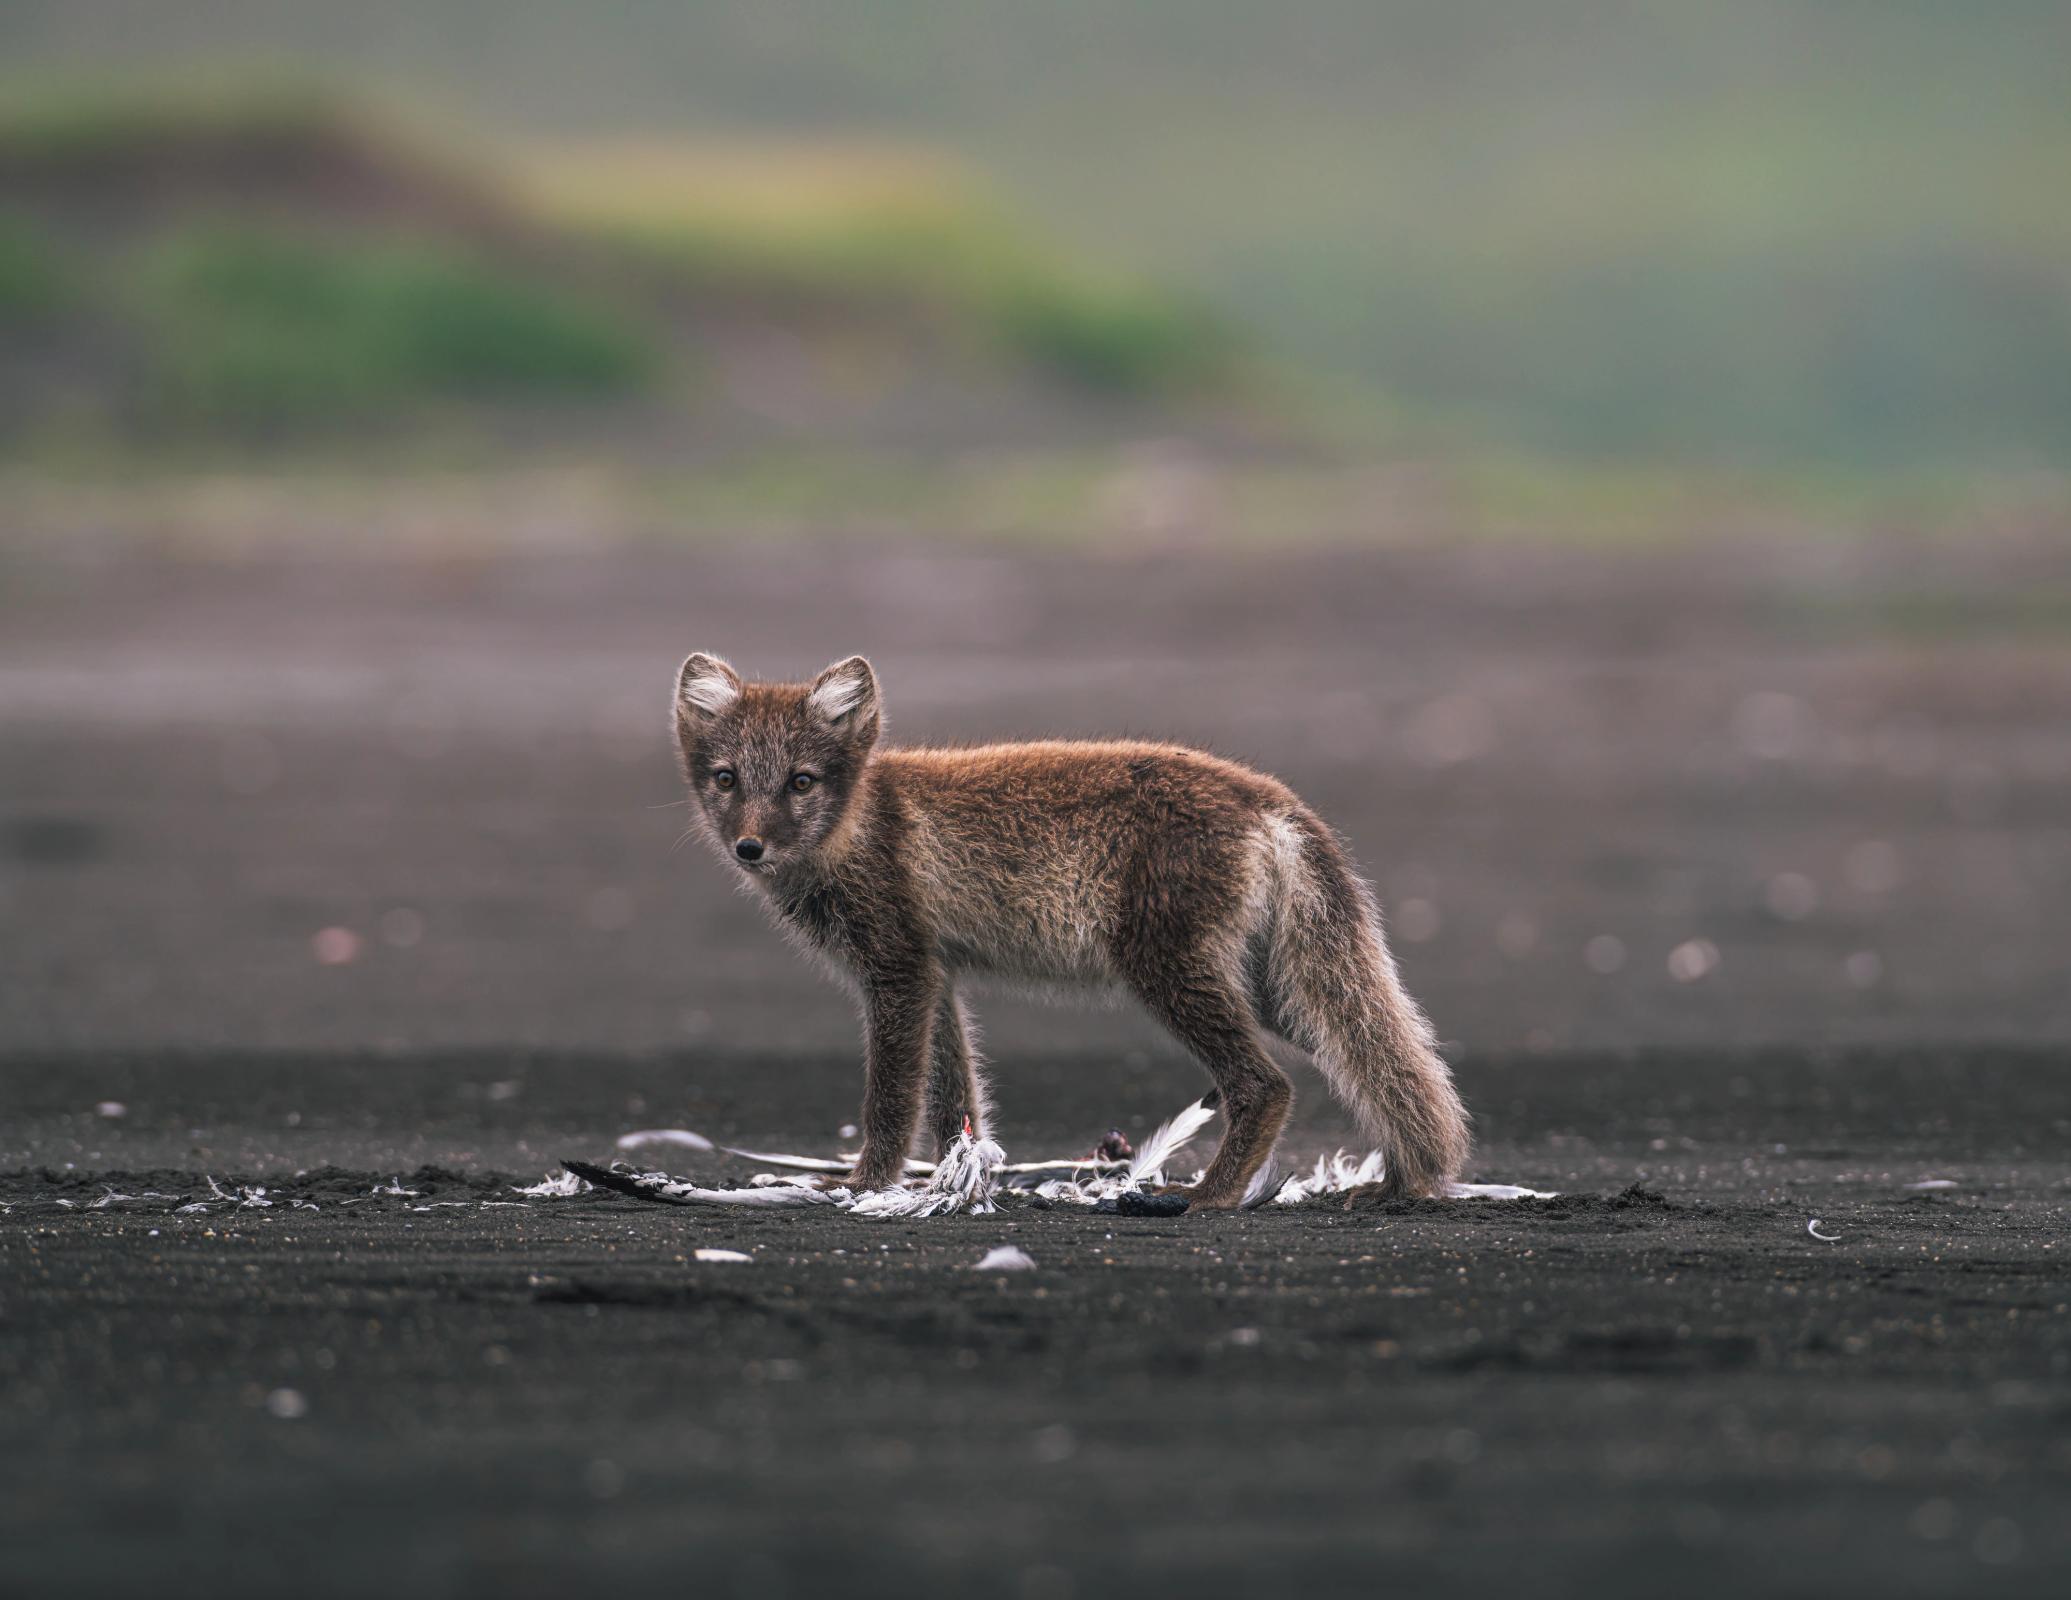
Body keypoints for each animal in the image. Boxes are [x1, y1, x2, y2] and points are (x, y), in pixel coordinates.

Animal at [672, 652, 1470, 1210]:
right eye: (726, 779)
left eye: (801, 782)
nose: (749, 848)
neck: (861, 824)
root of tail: (1267, 798)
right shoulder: (937, 974)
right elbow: (957, 1100)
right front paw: (954, 1184)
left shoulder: (896, 971)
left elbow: (892, 1098)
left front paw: (866, 1184)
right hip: (1275, 992)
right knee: (1389, 1061)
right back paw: (1400, 1180)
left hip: (1168, 972)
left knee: (1266, 1084)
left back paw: (1209, 1195)